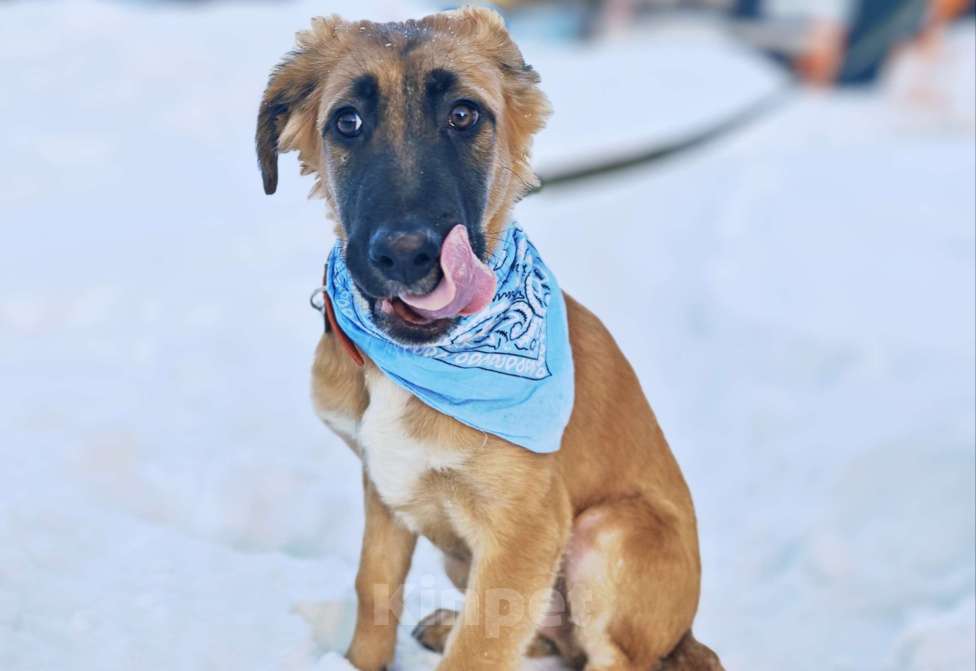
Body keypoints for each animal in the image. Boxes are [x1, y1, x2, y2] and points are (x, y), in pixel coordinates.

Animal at [256, 7, 722, 670]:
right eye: (347, 122)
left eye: (463, 114)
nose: (406, 255)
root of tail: (686, 635)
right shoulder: (384, 490)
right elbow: (375, 589)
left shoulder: (526, 531)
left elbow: (479, 647)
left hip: (607, 534)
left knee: (611, 656)